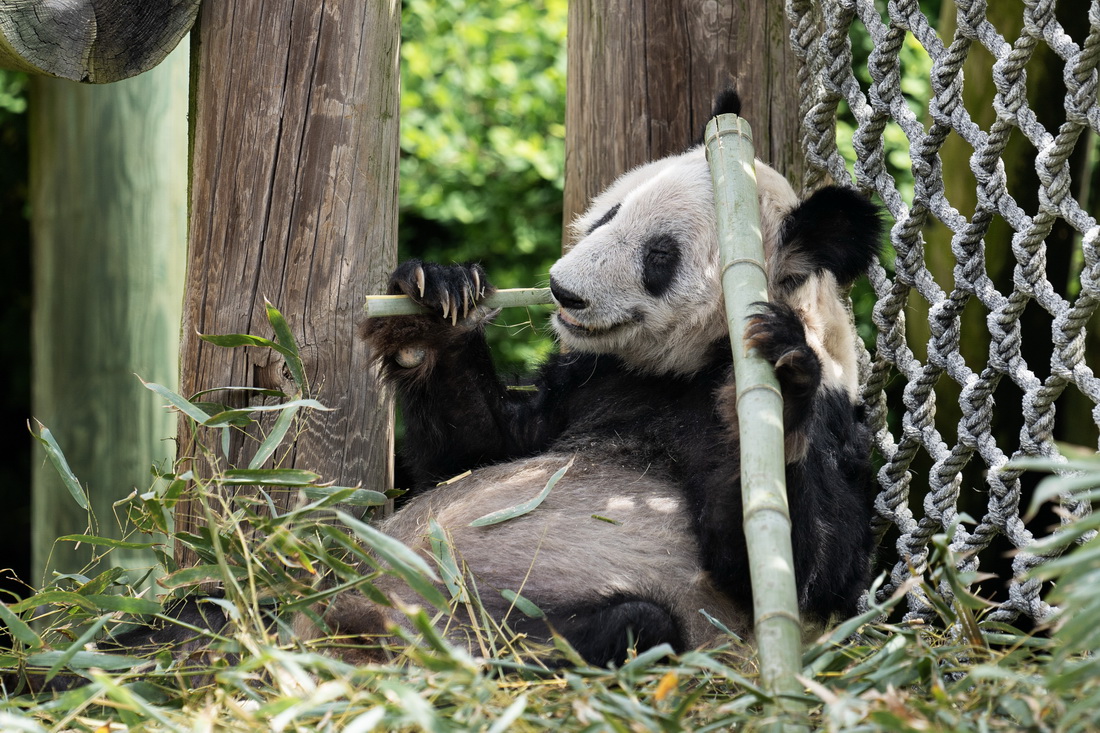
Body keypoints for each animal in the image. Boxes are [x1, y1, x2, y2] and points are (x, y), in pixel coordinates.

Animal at [301, 89, 884, 660]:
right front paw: (436, 300)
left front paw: (782, 385)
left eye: (660, 256)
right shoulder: (593, 380)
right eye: (610, 215)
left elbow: (811, 568)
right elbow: (474, 452)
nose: (564, 292)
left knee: (632, 626)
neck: (687, 365)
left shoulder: (832, 417)